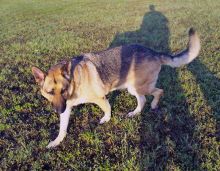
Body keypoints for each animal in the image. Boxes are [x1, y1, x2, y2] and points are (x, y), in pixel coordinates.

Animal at [31, 28, 200, 148]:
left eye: (63, 90)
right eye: (50, 92)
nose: (59, 110)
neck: (74, 81)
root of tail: (154, 53)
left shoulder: (100, 98)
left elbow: (107, 109)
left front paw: (106, 119)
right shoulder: (67, 108)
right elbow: (62, 129)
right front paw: (56, 142)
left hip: (141, 87)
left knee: (158, 92)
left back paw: (153, 105)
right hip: (133, 89)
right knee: (142, 100)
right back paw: (135, 112)